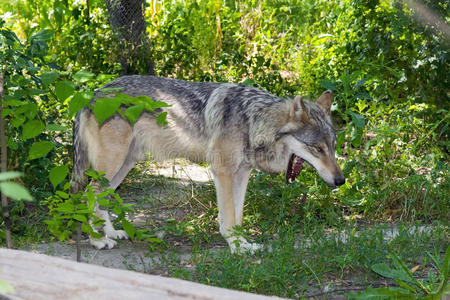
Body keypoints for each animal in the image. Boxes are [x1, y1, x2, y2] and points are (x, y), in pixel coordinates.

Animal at [70, 75, 344, 253]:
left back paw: (110, 233)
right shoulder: (222, 173)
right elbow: (229, 218)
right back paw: (97, 241)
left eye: (333, 146)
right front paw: (236, 248)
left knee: (101, 198)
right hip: (112, 165)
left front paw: (244, 244)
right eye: (317, 148)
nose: (340, 181)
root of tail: (92, 94)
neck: (253, 121)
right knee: (87, 195)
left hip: (124, 166)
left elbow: (238, 217)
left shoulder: (242, 175)